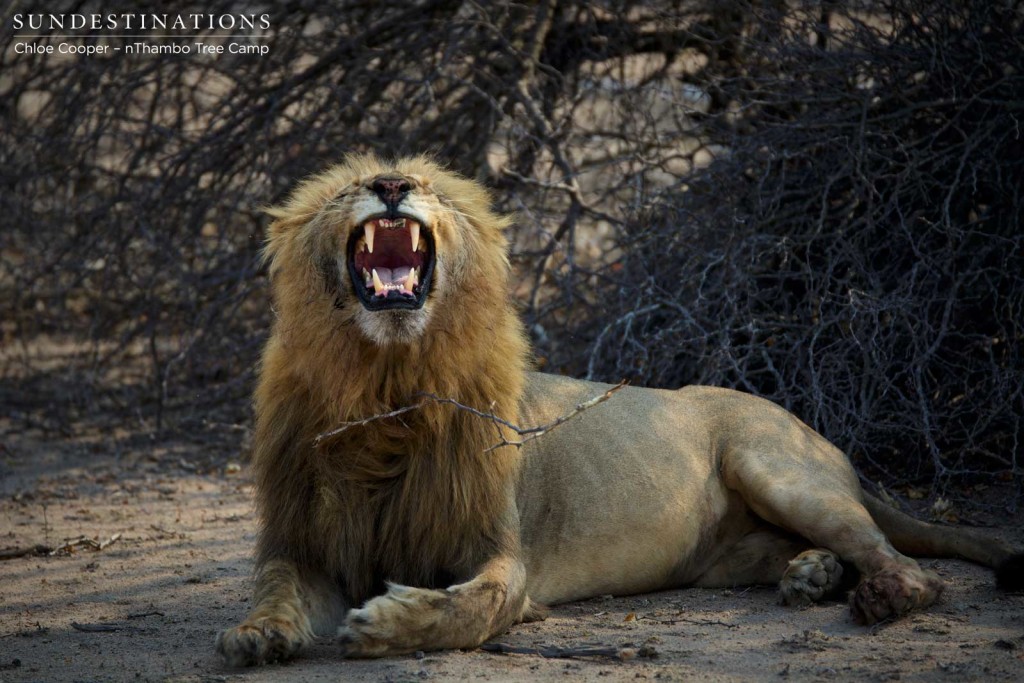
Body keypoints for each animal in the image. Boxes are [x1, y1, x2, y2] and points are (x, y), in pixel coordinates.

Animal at [214, 156, 1015, 667]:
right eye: (348, 188)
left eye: (428, 185)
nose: (389, 185)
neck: (387, 393)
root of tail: (827, 442)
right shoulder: (308, 541)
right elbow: (273, 586)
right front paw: (255, 634)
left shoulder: (503, 557)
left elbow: (467, 608)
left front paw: (384, 623)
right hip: (728, 554)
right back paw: (812, 576)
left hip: (775, 468)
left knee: (912, 567)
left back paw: (877, 594)